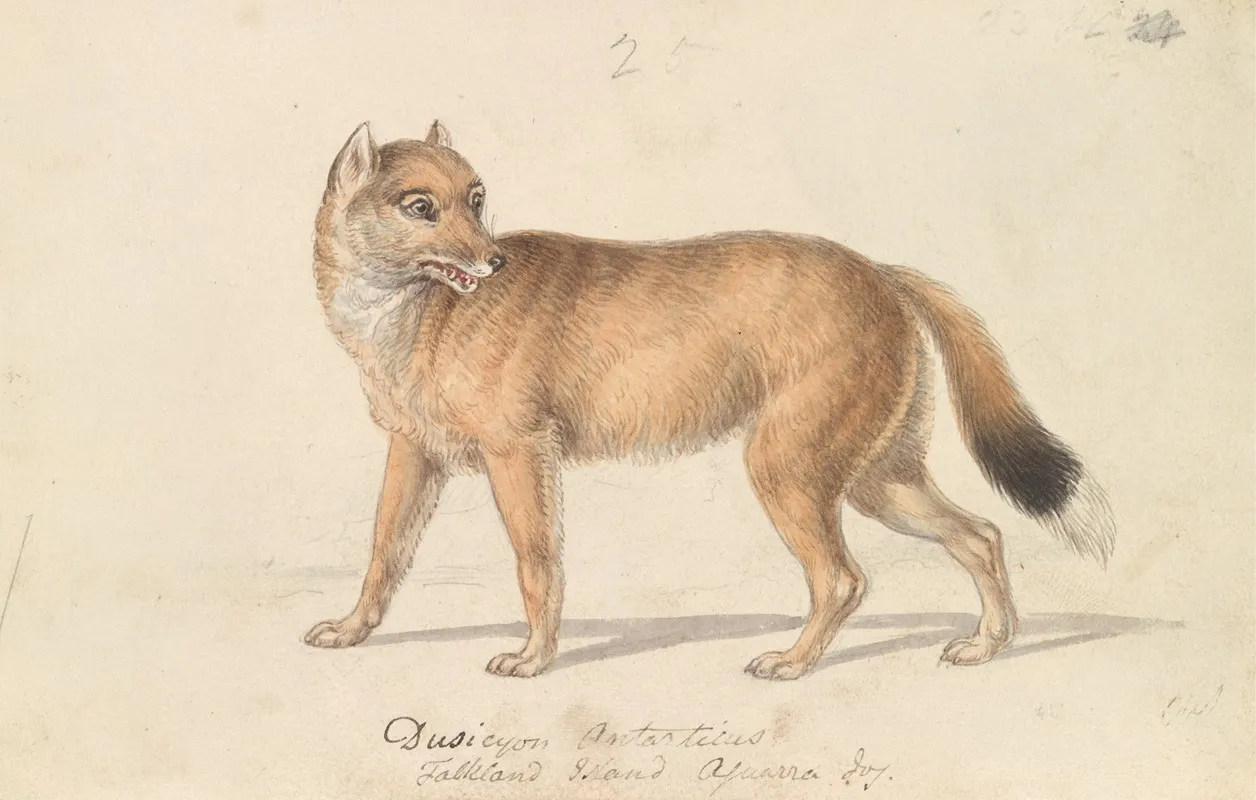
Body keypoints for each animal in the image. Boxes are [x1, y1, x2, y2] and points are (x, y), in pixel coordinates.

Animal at [303, 120, 1115, 680]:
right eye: (421, 207)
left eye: (476, 201)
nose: (493, 260)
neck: (415, 314)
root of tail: (881, 272)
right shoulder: (414, 454)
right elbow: (383, 552)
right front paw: (351, 631)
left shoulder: (519, 454)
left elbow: (537, 564)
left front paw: (533, 658)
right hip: (878, 480)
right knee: (981, 535)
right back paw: (986, 646)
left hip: (789, 470)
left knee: (844, 579)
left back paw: (793, 664)